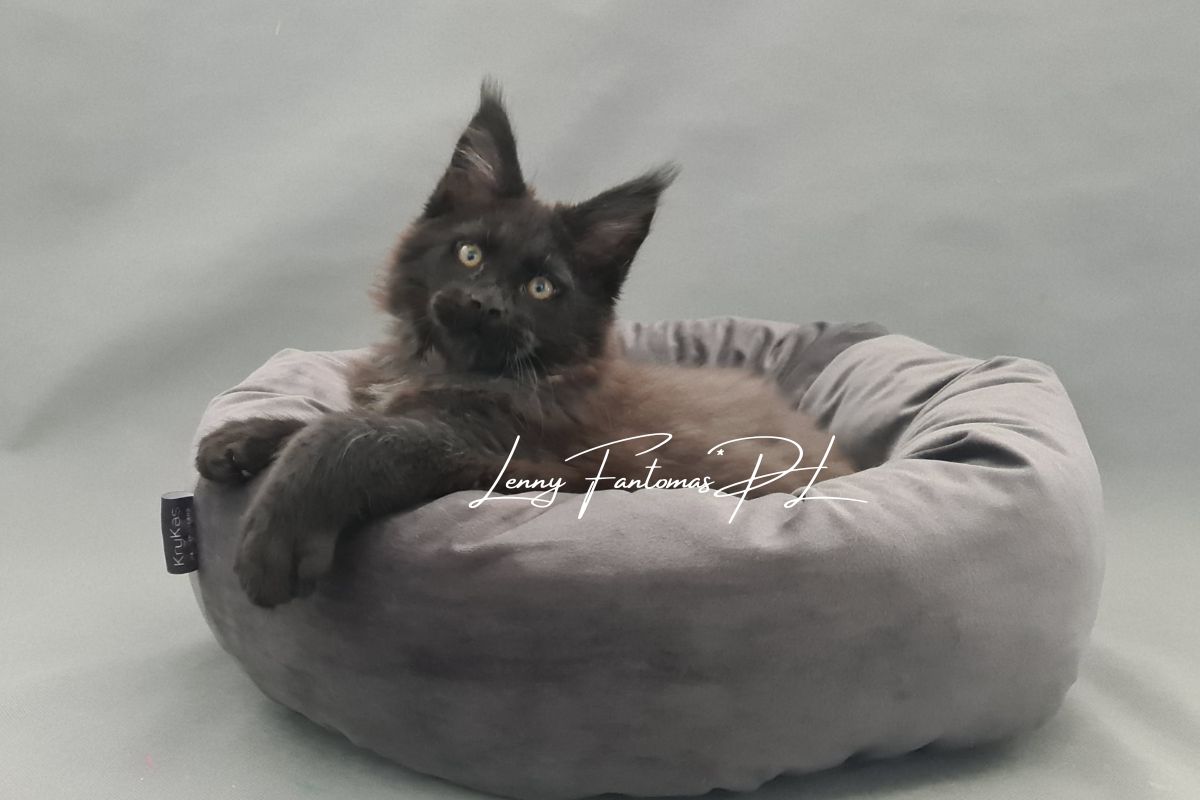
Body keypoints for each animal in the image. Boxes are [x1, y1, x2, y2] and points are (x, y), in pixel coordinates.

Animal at [196, 81, 857, 608]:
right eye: (470, 254)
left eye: (541, 288)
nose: (485, 303)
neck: (442, 365)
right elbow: (329, 418)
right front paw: (246, 435)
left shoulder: (524, 461)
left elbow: (351, 434)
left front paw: (276, 534)